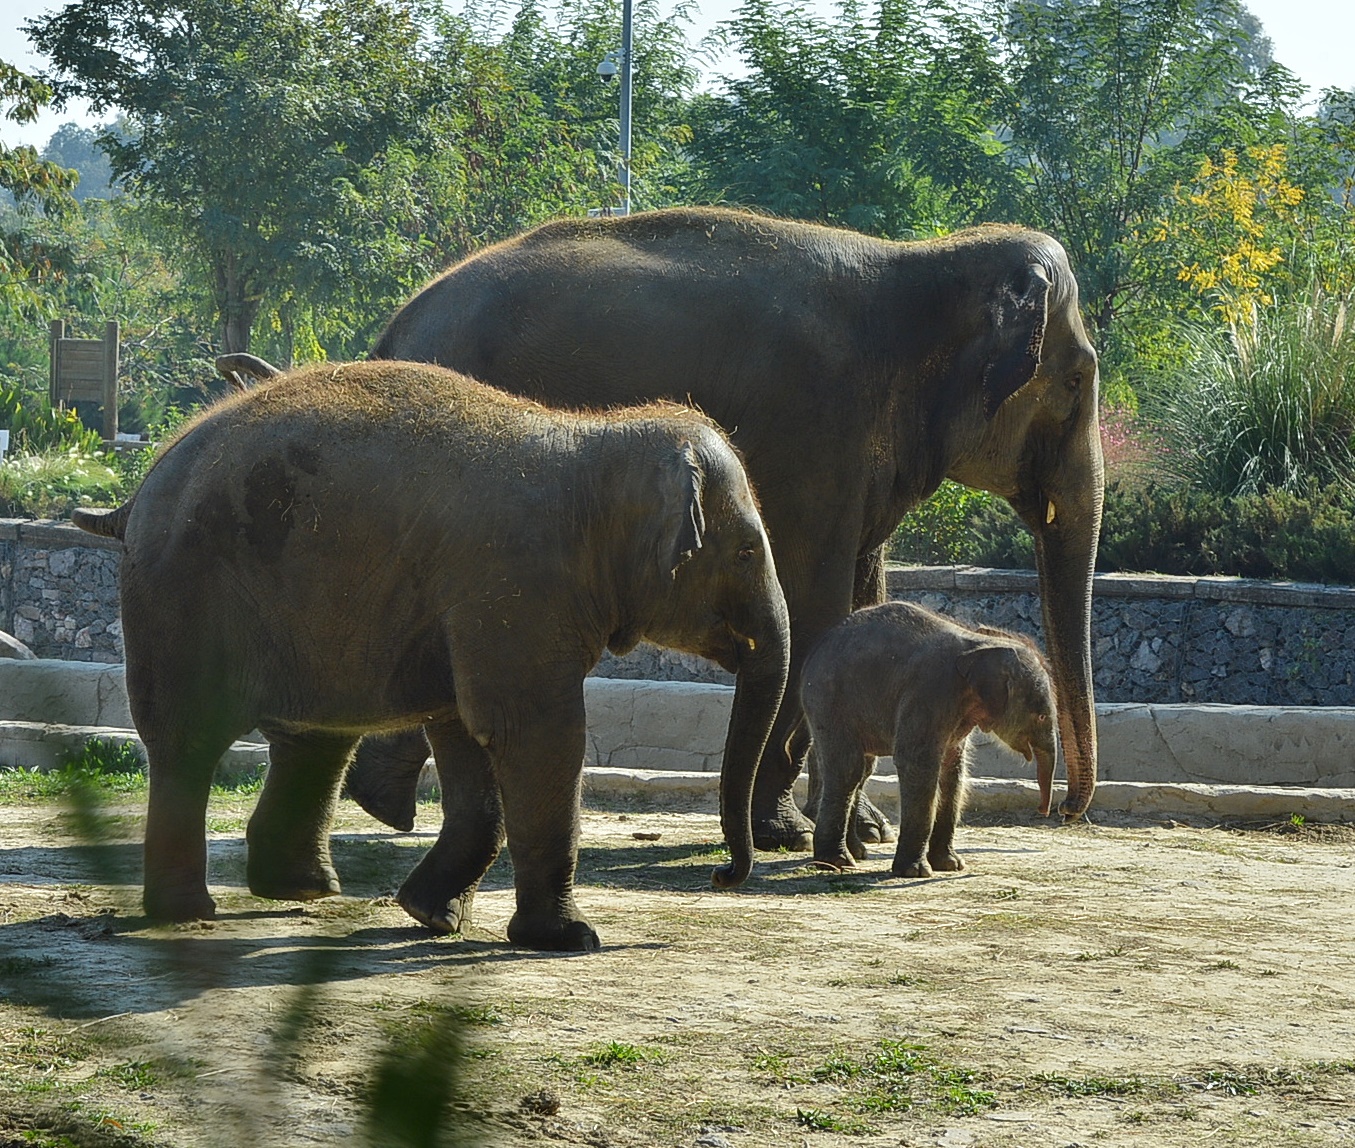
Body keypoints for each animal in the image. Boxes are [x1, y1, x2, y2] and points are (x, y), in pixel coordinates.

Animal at [71, 360, 791, 954]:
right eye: (747, 551)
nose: (721, 875)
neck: (596, 441)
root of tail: (137, 491)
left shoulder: (476, 610)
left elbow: (469, 731)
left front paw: (432, 917)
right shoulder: (513, 586)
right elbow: (536, 732)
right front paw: (569, 940)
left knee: (314, 738)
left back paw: (303, 893)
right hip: (182, 593)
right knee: (188, 740)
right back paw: (188, 913)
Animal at [802, 601, 1056, 878]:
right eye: (1042, 716)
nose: (1043, 811)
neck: (982, 645)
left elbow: (952, 771)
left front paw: (951, 865)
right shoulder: (929, 693)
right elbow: (917, 763)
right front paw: (916, 872)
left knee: (862, 771)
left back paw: (856, 854)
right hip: (829, 701)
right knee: (847, 768)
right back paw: (837, 862)